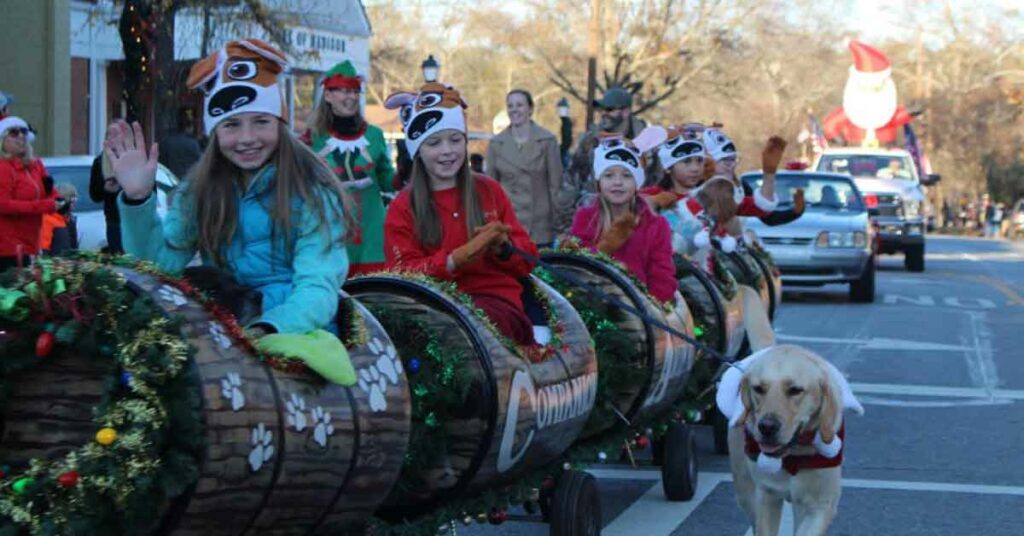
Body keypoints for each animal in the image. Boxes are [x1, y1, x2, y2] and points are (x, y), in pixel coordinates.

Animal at [720, 344, 864, 536]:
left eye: (795, 390)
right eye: (758, 388)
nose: (767, 427)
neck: (793, 456)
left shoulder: (821, 505)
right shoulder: (766, 496)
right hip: (745, 489)